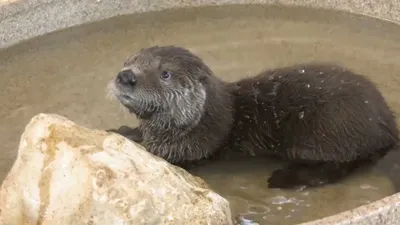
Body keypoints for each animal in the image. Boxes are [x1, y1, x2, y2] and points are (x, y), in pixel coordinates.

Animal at [107, 45, 400, 190]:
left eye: (165, 73)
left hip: (328, 129)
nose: (126, 76)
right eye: (128, 61)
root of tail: (386, 125)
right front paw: (123, 131)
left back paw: (285, 179)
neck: (200, 123)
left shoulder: (189, 149)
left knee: (338, 167)